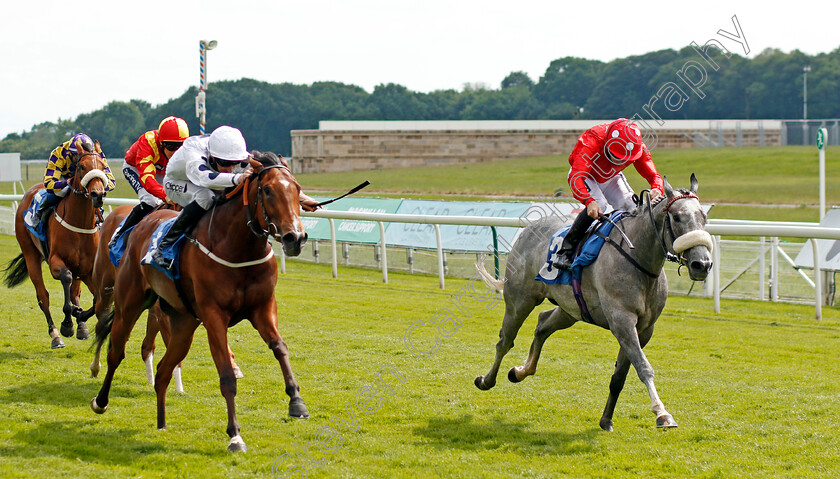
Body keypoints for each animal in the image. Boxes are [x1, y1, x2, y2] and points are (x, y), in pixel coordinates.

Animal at [2, 142, 110, 348]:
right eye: (81, 167)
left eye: (102, 166)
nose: (97, 195)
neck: (79, 223)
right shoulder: (55, 262)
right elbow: (66, 280)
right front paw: (67, 323)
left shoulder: (88, 269)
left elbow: (98, 299)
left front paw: (79, 315)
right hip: (30, 254)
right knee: (43, 296)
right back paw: (55, 335)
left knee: (75, 292)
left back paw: (81, 326)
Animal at [476, 175, 712, 432]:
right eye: (677, 217)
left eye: (704, 217)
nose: (702, 264)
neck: (638, 258)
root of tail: (528, 229)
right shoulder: (622, 321)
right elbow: (644, 367)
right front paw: (662, 413)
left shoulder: (644, 329)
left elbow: (620, 376)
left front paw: (606, 419)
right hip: (520, 300)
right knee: (505, 341)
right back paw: (486, 380)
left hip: (571, 309)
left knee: (542, 324)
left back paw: (520, 372)